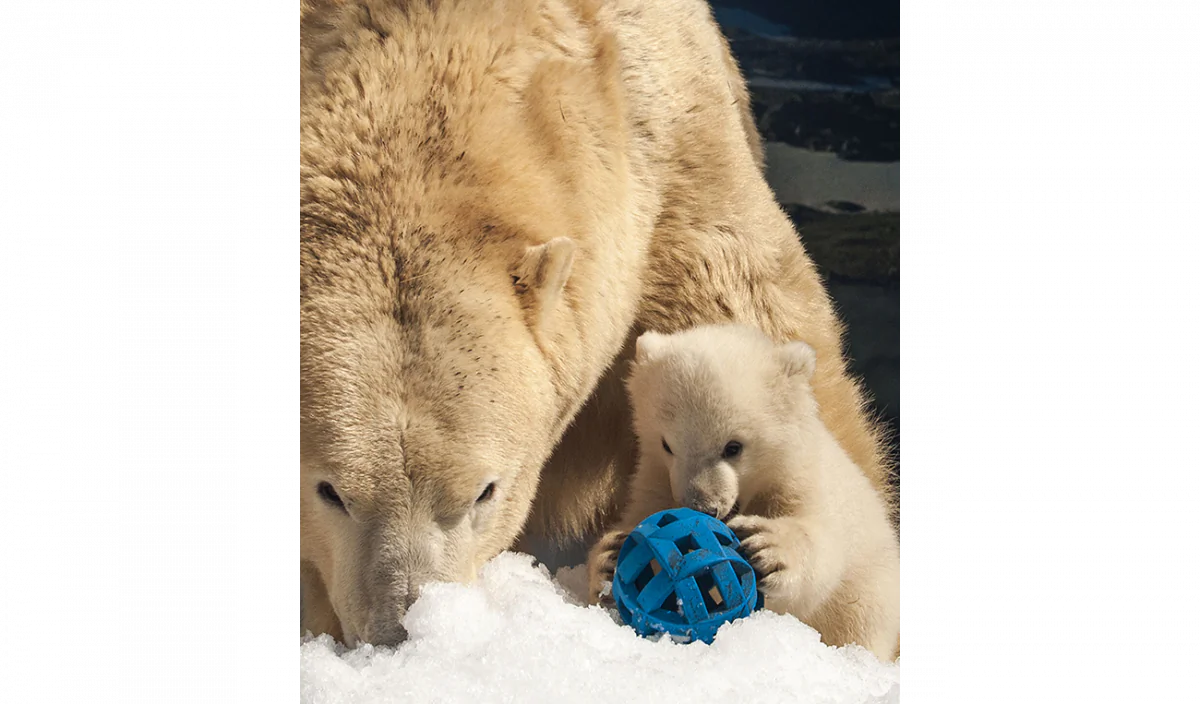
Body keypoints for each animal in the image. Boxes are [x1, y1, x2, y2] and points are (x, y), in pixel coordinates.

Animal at [585, 324, 900, 661]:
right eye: (667, 444)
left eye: (733, 447)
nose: (703, 506)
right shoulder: (655, 481)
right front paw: (608, 558)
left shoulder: (804, 480)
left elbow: (822, 547)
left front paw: (768, 548)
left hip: (870, 592)